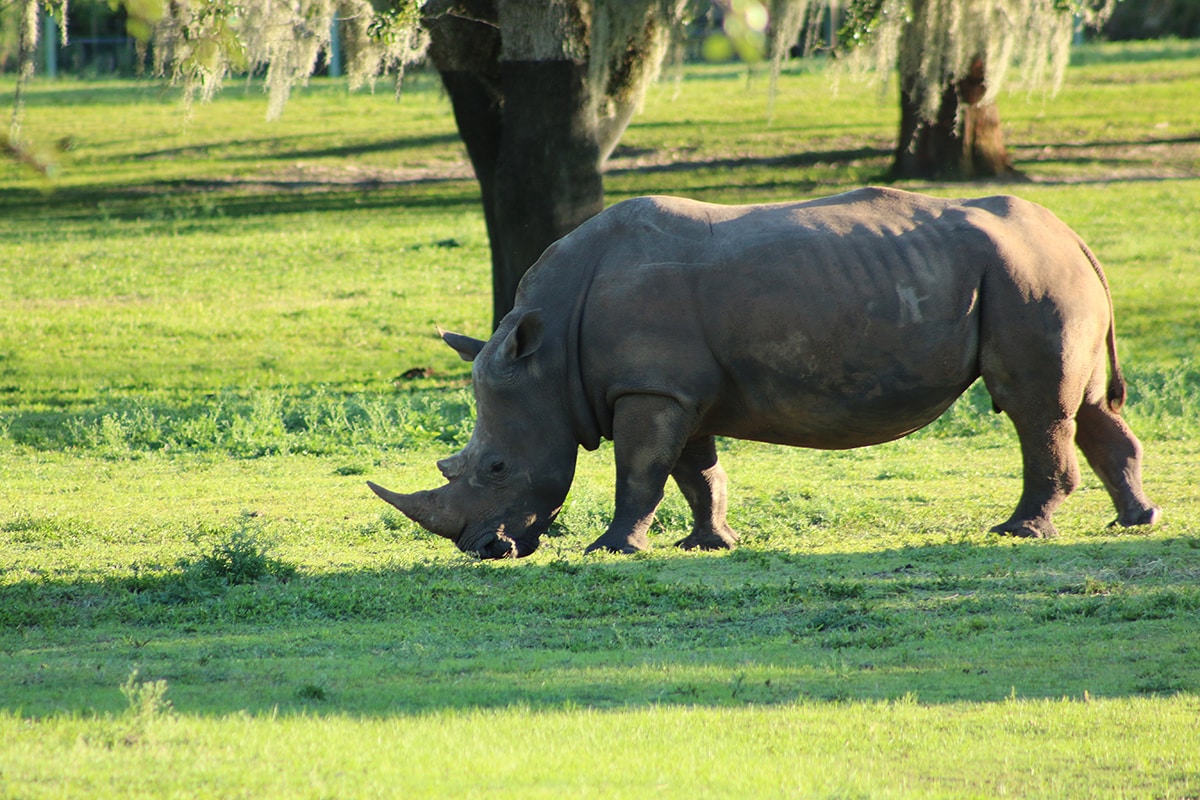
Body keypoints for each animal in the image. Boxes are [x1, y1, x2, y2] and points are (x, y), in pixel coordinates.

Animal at [368, 187, 1161, 559]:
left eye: (497, 467)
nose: (484, 551)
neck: (550, 351)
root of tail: (1072, 235)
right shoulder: (677, 387)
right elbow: (693, 470)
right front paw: (708, 545)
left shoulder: (649, 387)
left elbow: (639, 471)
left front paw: (613, 548)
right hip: (1039, 273)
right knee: (1088, 407)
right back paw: (1137, 520)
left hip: (1028, 276)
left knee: (1034, 407)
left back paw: (1019, 533)